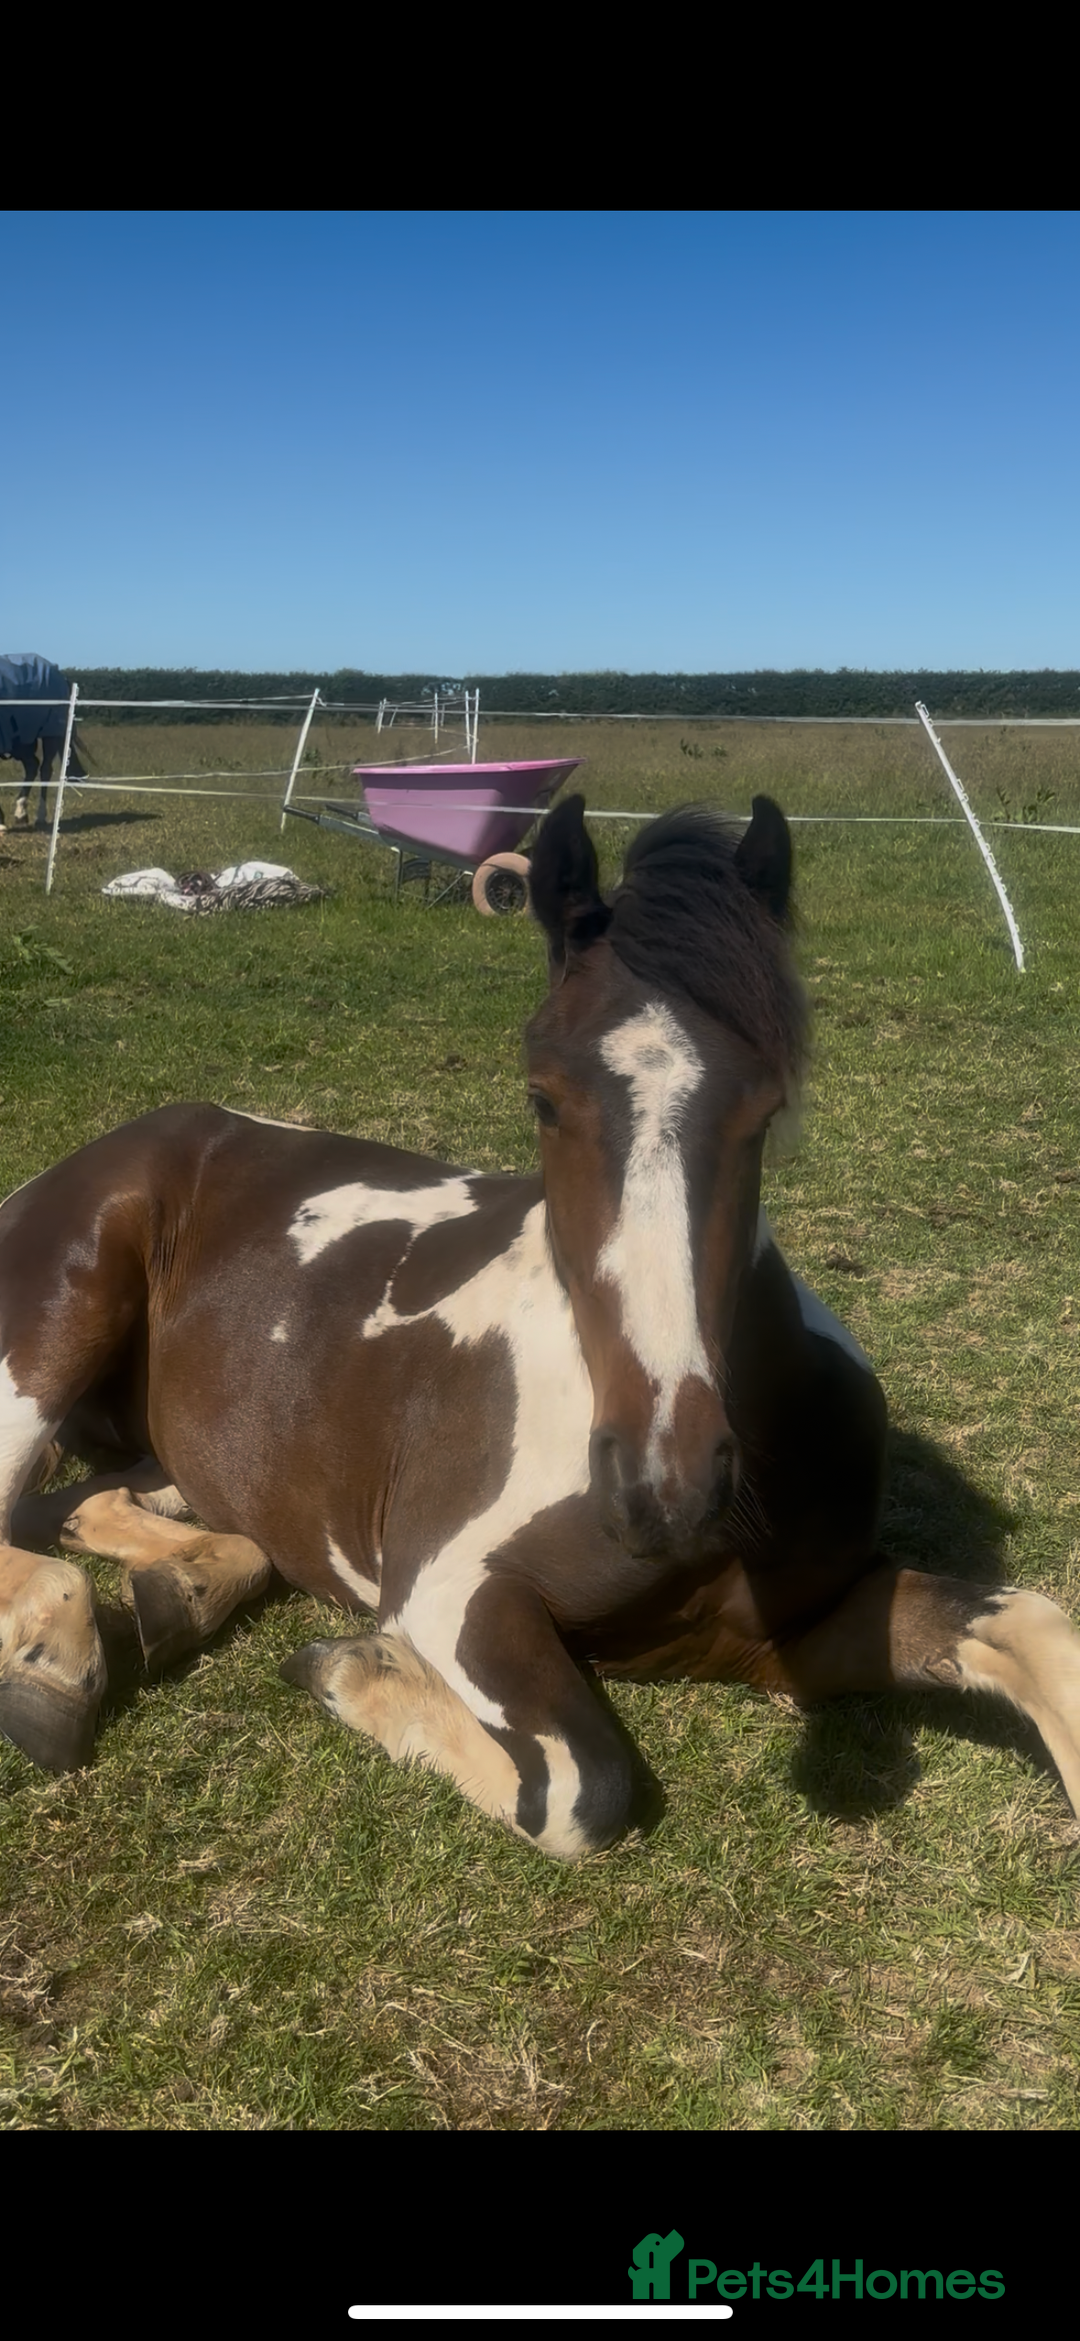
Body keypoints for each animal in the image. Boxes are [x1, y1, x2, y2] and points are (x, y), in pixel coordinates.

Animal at [0, 652, 85, 833]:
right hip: (22, 741)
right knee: (32, 765)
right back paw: (21, 812)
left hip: (49, 735)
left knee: (45, 769)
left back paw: (38, 816)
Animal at [3, 793, 1080, 1856]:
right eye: (542, 1094)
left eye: (768, 1104)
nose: (664, 1486)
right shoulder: (453, 1587)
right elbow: (579, 1790)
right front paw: (358, 1674)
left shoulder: (799, 1630)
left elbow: (1035, 1628)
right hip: (51, 1337)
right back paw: (57, 1663)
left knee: (101, 1509)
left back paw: (180, 1594)